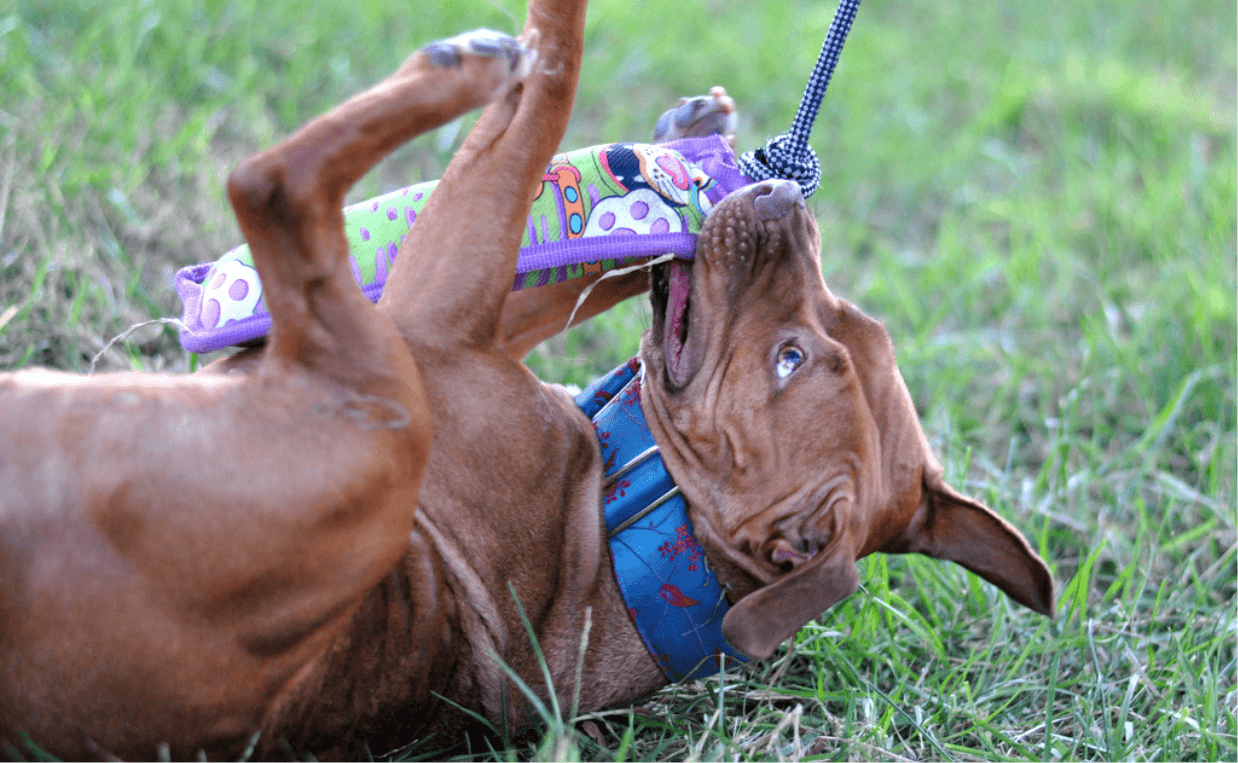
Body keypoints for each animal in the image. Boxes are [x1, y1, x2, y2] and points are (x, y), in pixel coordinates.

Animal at [0, 0, 1054, 758]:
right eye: (846, 324)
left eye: (790, 356)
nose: (784, 191)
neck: (640, 519)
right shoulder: (468, 320)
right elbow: (566, 250)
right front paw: (678, 139)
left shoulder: (431, 320)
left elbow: (548, 85)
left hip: (379, 399)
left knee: (272, 186)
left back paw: (459, 66)